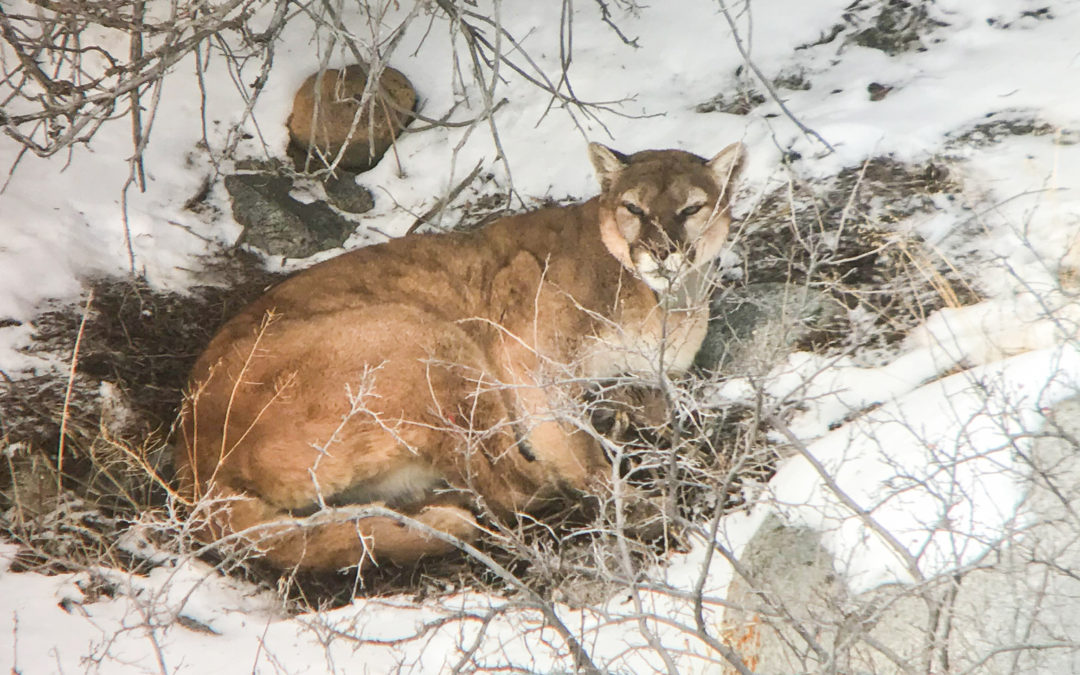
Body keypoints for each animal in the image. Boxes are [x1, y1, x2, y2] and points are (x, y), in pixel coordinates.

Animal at [177, 140, 747, 570]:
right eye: (634, 209)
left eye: (691, 209)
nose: (662, 251)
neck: (663, 303)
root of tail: (193, 452)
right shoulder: (532, 361)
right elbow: (575, 446)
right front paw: (630, 499)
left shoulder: (658, 377)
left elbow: (657, 407)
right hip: (427, 339)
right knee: (508, 487)